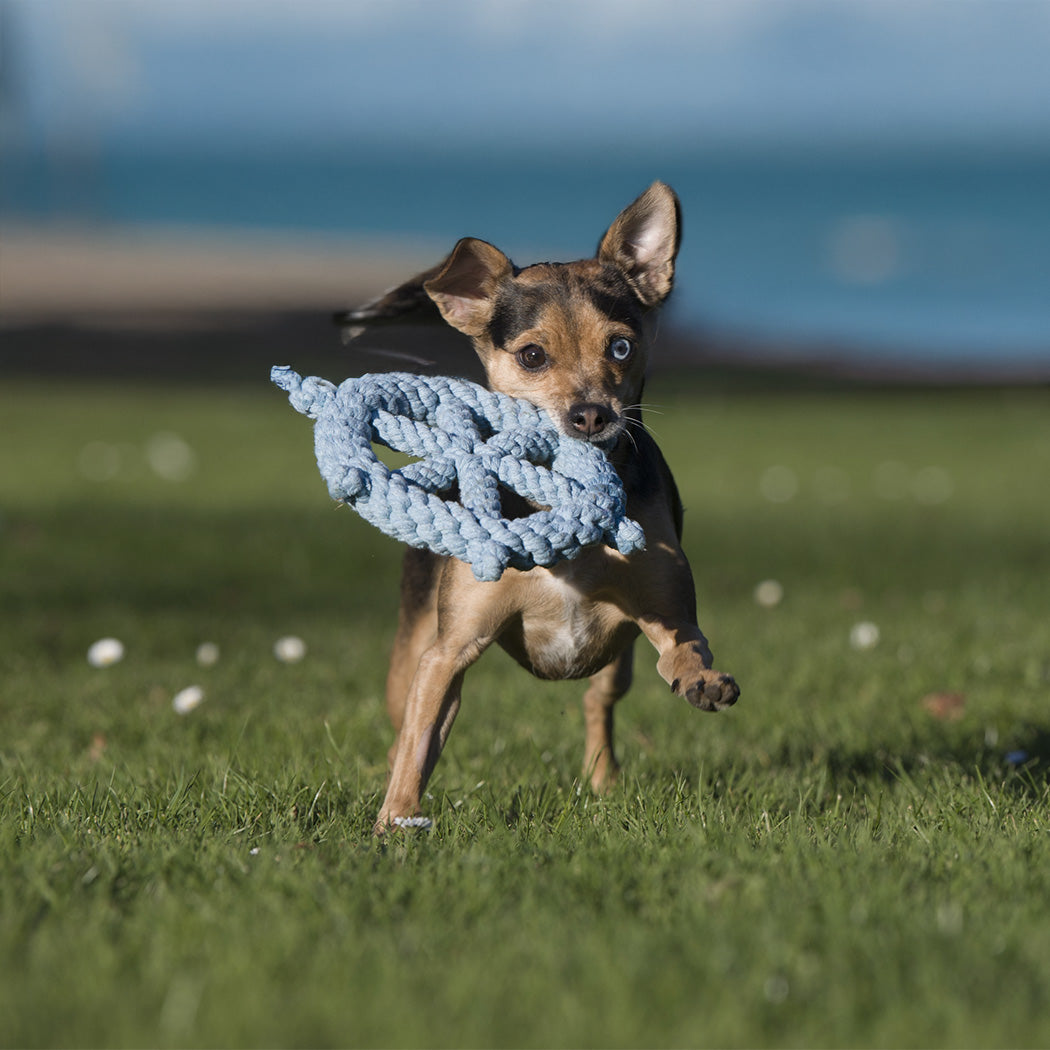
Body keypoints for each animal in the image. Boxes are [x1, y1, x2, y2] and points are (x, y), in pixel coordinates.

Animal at [336, 182, 739, 835]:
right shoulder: (448, 654)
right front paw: (395, 821)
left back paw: (604, 782)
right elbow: (420, 743)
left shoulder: (663, 608)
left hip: (615, 665)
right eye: (531, 357)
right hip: (411, 650)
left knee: (598, 704)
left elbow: (686, 644)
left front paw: (701, 679)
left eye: (621, 346)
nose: (592, 414)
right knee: (403, 725)